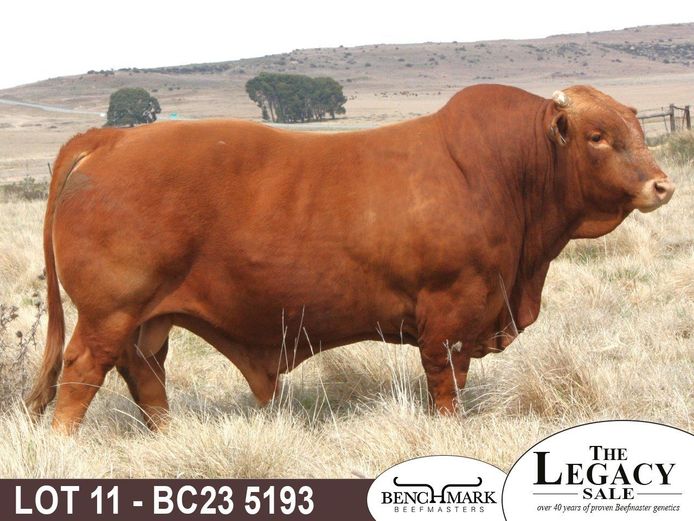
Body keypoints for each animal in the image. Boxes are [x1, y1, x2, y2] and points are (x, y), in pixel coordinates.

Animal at [26, 84, 674, 433]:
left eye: (636, 125)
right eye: (596, 136)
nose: (662, 186)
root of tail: (112, 138)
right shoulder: (450, 311)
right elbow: (446, 384)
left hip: (148, 320)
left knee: (145, 375)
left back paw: (166, 436)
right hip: (109, 311)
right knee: (82, 373)